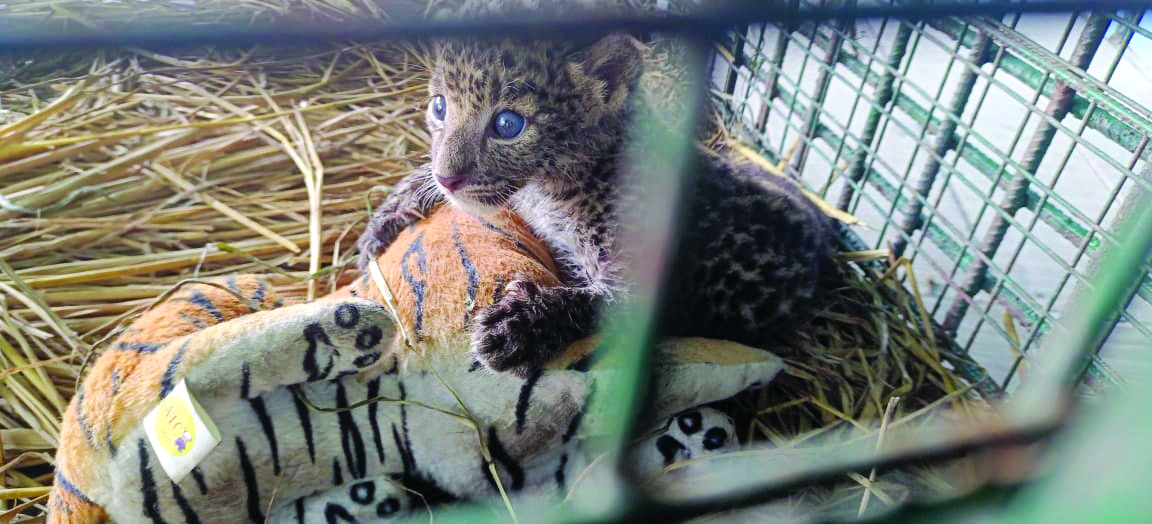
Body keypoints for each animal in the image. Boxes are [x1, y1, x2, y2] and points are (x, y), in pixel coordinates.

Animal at [356, 4, 843, 378]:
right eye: (440, 107)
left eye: (508, 124)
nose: (448, 178)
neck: (551, 187)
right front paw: (383, 221)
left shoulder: (652, 287)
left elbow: (596, 304)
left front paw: (515, 327)